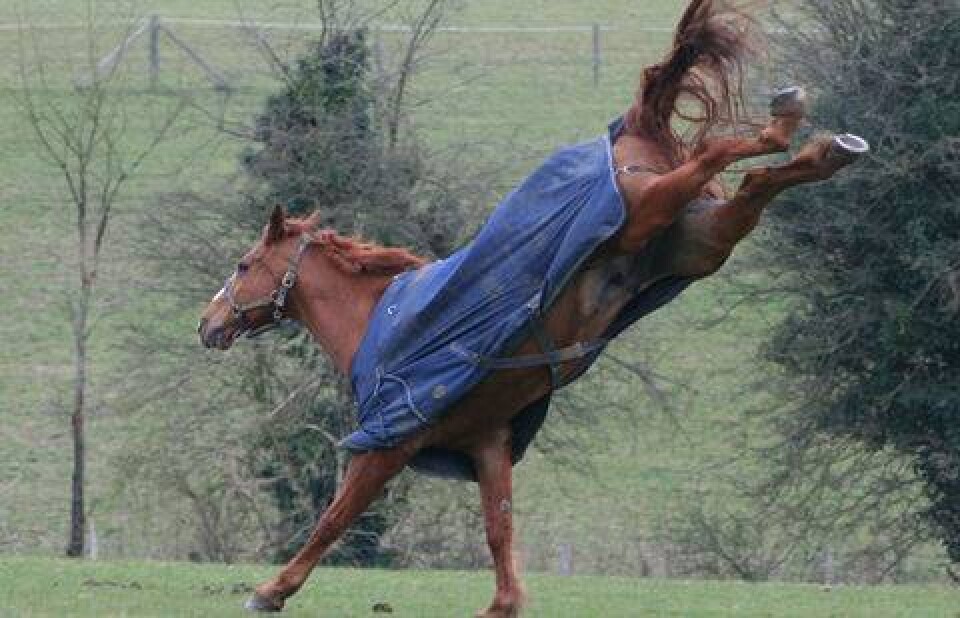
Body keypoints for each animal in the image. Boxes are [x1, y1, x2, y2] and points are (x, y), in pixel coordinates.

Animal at [198, 0, 868, 614]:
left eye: (243, 265)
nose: (207, 324)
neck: (376, 322)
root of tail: (633, 126)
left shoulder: (389, 442)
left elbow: (334, 518)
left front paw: (270, 592)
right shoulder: (488, 443)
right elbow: (500, 528)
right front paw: (504, 602)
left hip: (649, 206)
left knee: (721, 154)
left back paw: (787, 124)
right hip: (700, 243)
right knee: (756, 187)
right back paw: (826, 147)